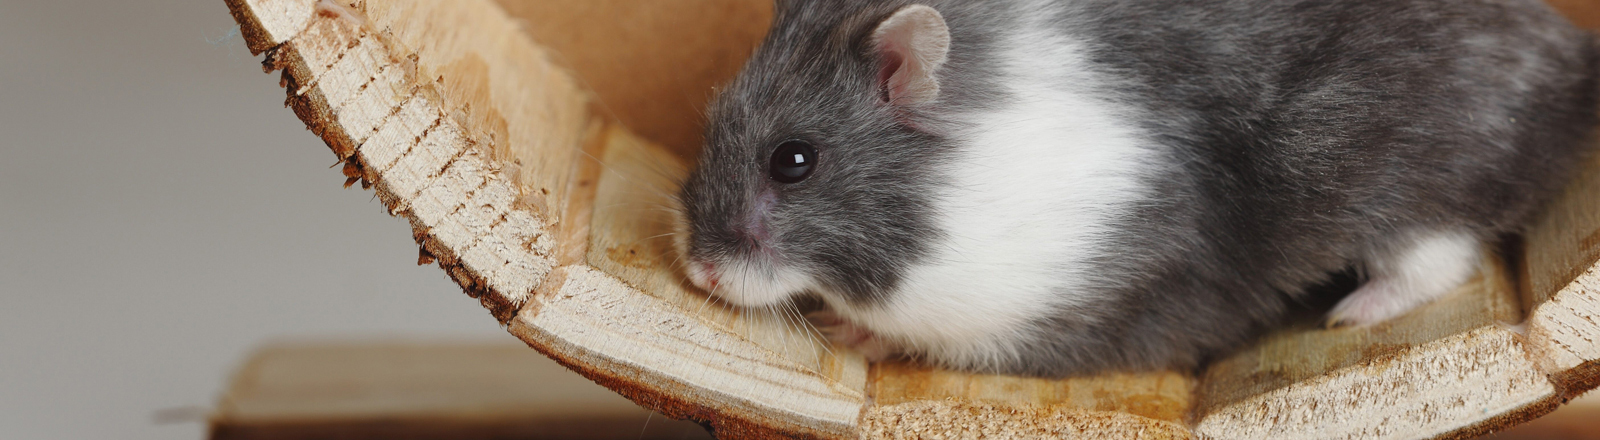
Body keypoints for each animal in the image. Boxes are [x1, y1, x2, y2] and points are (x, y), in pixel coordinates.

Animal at [674, 0, 1600, 377]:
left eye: (794, 160)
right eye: (712, 115)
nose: (698, 275)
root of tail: (1575, 60)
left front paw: (851, 331)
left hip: (1404, 180)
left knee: (1440, 257)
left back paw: (1350, 313)